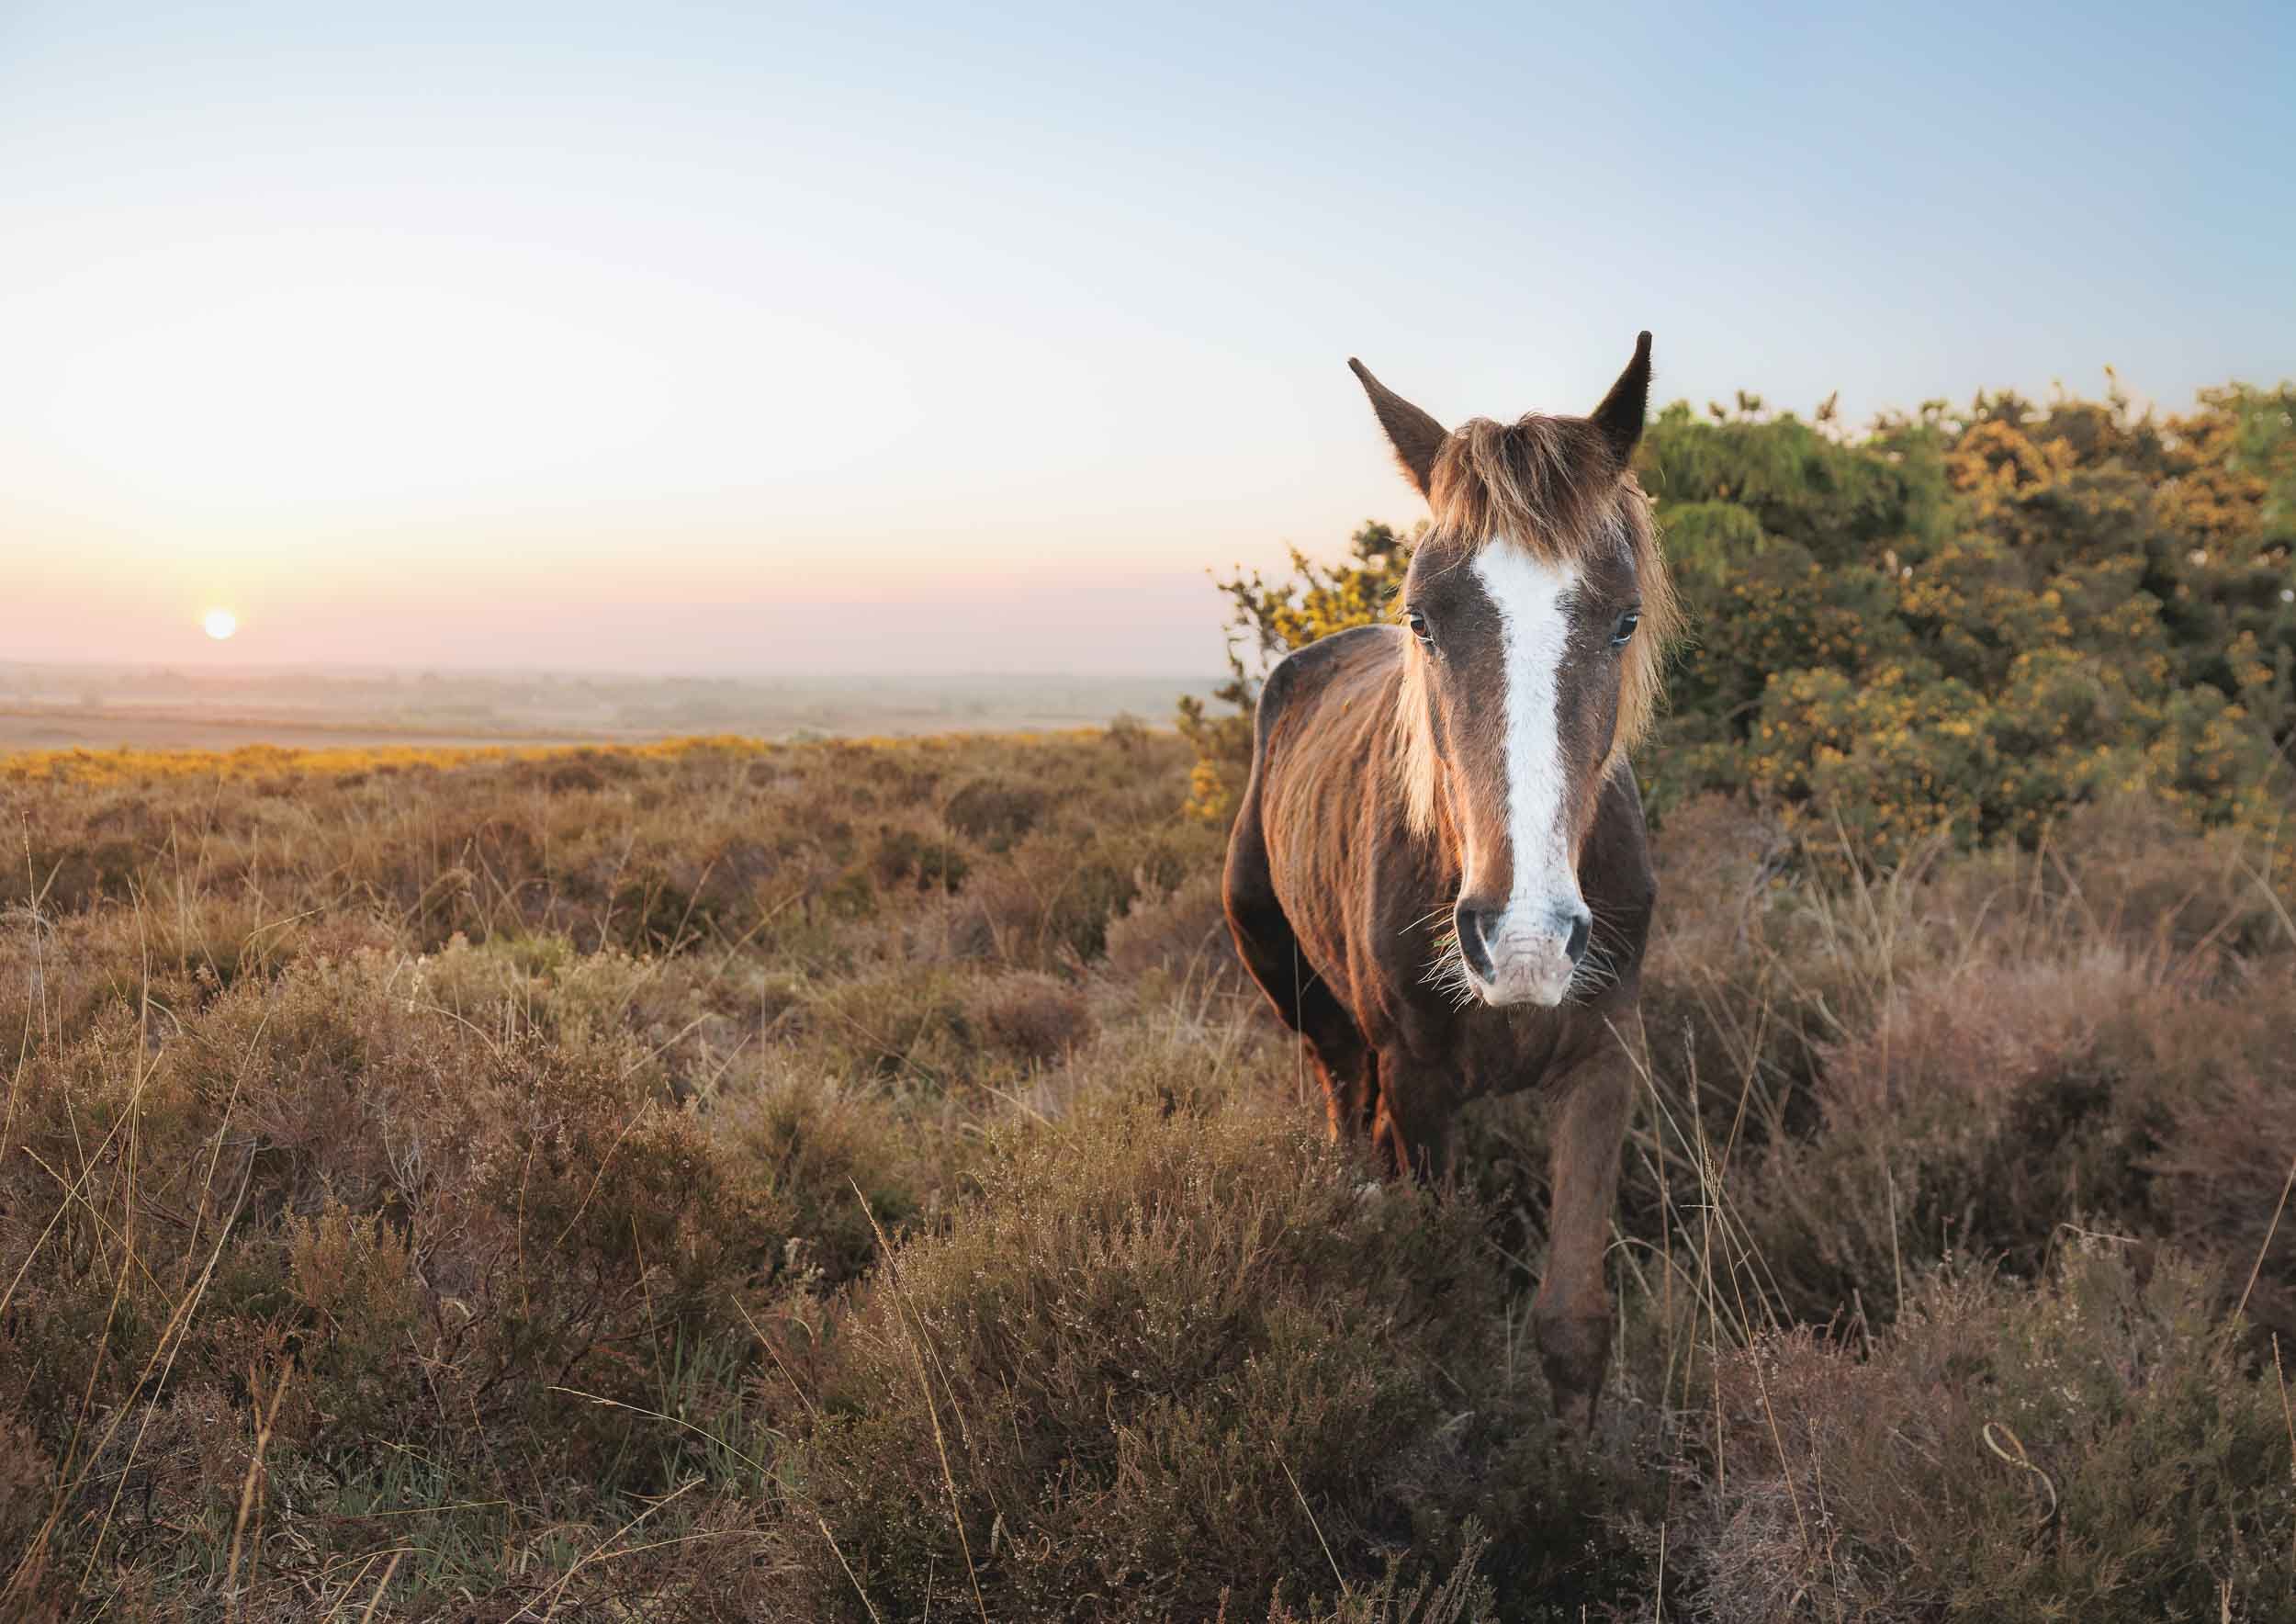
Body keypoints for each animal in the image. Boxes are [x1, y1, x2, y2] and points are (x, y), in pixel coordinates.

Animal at [1221, 334, 1676, 1429]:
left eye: (1623, 620)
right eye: (1423, 619)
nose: (1523, 941)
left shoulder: (1605, 1061)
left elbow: (1572, 1323)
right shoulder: (1419, 1082)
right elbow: (1441, 1298)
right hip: (1298, 995)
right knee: (1344, 1108)